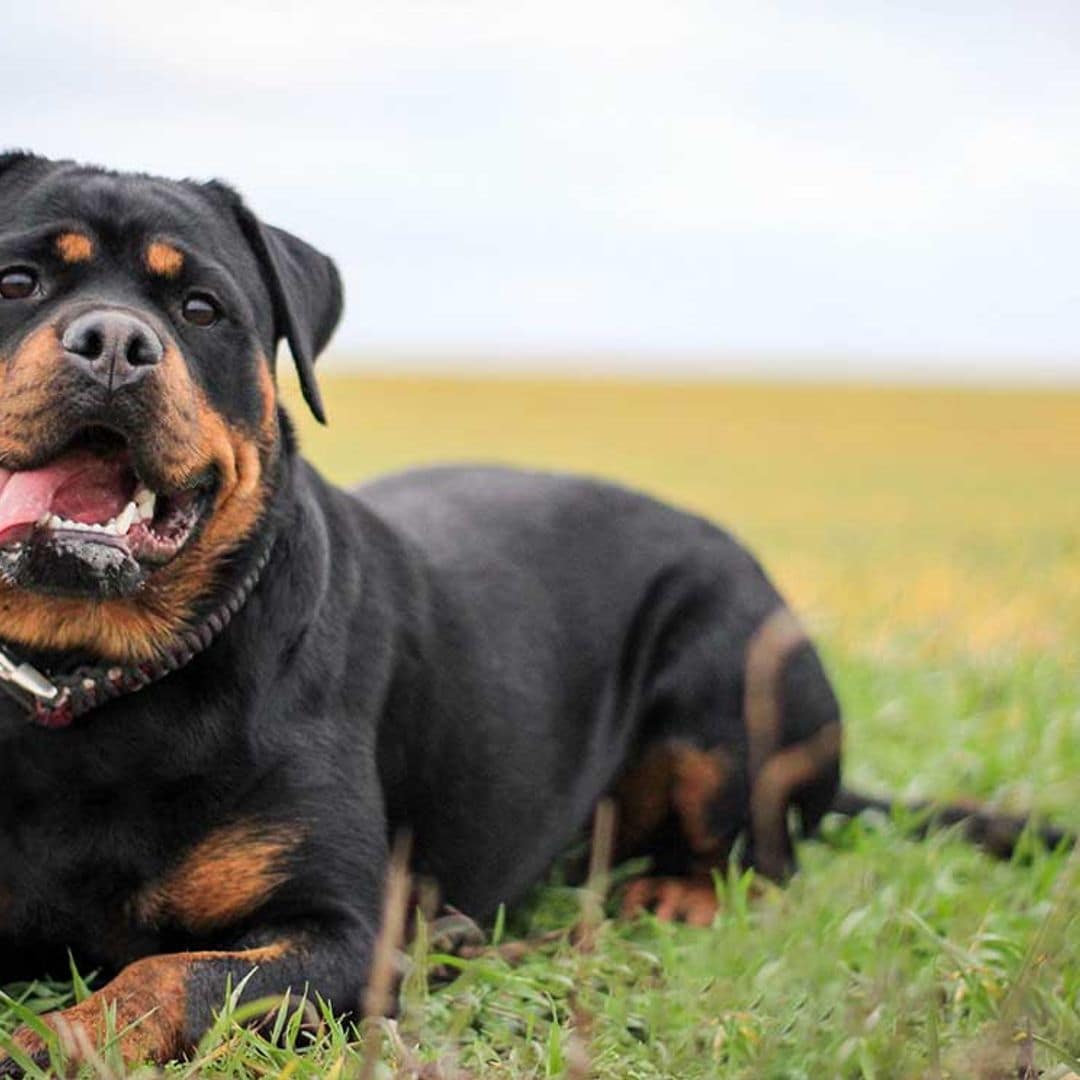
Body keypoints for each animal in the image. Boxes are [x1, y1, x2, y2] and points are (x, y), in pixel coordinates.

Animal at [0, 156, 1067, 1075]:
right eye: (17, 279)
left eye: (200, 308)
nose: (116, 343)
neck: (90, 682)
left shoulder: (345, 933)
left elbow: (166, 978)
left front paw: (46, 1040)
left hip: (728, 666)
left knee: (762, 859)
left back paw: (663, 896)